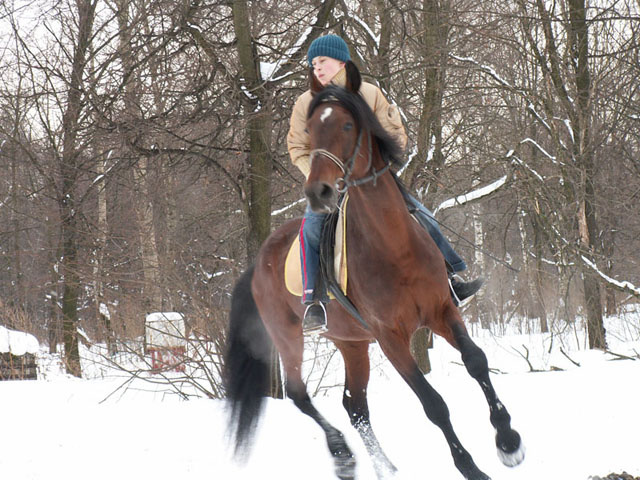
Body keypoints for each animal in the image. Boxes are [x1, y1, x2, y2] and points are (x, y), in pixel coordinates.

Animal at [224, 84, 525, 480]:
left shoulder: (442, 311)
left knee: (354, 404)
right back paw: (343, 455)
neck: (395, 247)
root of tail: (257, 264)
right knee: (300, 394)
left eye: (348, 125)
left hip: (350, 342)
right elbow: (433, 404)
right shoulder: (390, 337)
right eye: (310, 130)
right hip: (288, 337)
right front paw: (470, 467)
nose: (319, 191)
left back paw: (385, 467)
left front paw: (508, 441)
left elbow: (476, 361)